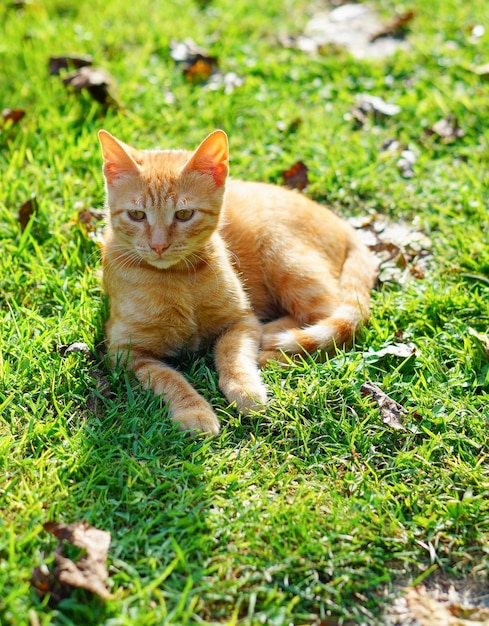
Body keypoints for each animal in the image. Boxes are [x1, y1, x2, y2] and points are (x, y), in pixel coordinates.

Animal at [97, 129, 376, 432]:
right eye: (137, 215)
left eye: (184, 214)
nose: (159, 245)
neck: (177, 278)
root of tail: (342, 223)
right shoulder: (126, 353)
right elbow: (168, 379)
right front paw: (194, 411)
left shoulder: (241, 321)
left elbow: (232, 355)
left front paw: (245, 390)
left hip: (286, 258)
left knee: (329, 325)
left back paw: (271, 346)